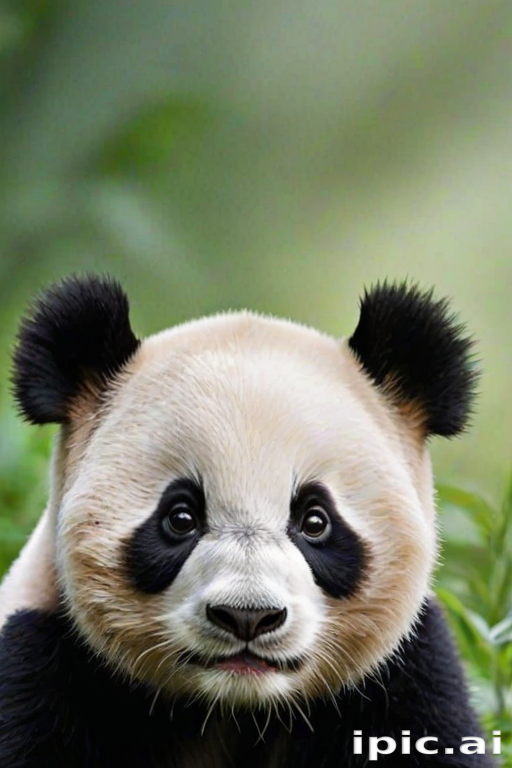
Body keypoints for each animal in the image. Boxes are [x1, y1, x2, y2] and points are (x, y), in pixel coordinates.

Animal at [0, 275, 495, 768]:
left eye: (315, 521)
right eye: (181, 517)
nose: (247, 616)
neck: (235, 710)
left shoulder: (408, 678)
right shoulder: (38, 659)